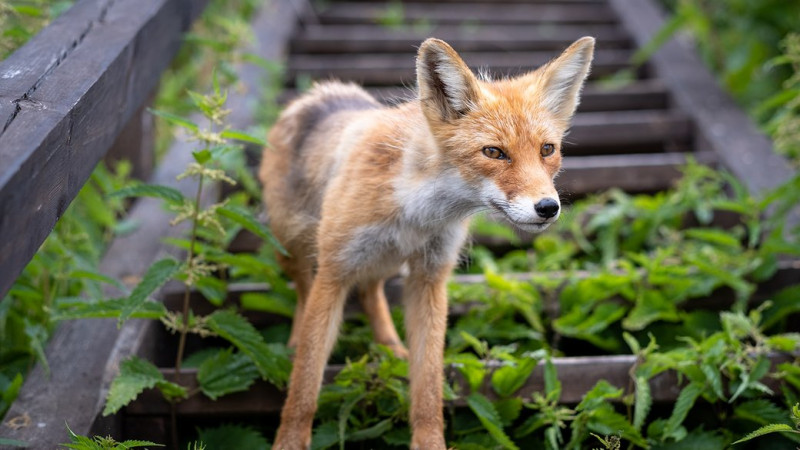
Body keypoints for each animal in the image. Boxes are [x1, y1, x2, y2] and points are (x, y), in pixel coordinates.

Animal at [260, 37, 592, 448]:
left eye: (547, 149)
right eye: (494, 152)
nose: (548, 207)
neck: (415, 211)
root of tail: (322, 92)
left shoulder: (430, 277)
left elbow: (429, 381)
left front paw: (429, 439)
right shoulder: (334, 271)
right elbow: (307, 379)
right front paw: (290, 439)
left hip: (384, 259)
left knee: (370, 291)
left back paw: (391, 348)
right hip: (296, 247)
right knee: (305, 293)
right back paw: (295, 342)